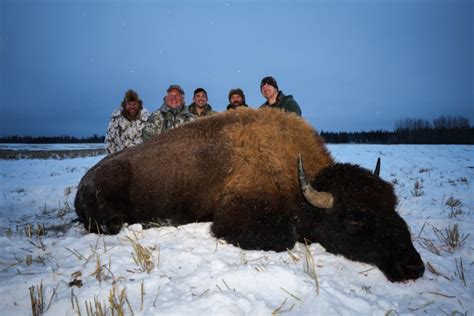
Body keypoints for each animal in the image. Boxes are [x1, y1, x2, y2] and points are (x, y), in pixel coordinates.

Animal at [76, 108, 424, 282]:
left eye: (393, 207)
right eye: (354, 218)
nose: (413, 267)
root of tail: (83, 182)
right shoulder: (235, 218)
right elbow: (286, 236)